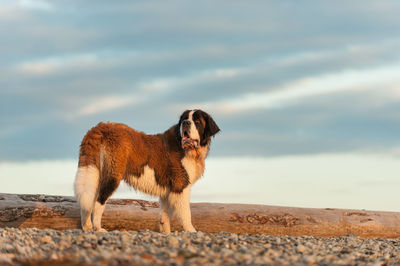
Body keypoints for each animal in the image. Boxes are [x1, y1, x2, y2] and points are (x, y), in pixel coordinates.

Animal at [74, 109, 219, 232]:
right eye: (185, 119)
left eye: (197, 121)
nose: (185, 123)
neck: (188, 149)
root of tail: (101, 127)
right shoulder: (181, 187)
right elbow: (185, 214)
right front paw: (191, 231)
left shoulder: (168, 192)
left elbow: (165, 215)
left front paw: (166, 233)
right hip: (113, 175)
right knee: (99, 201)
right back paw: (98, 228)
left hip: (95, 172)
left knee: (88, 200)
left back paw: (87, 227)